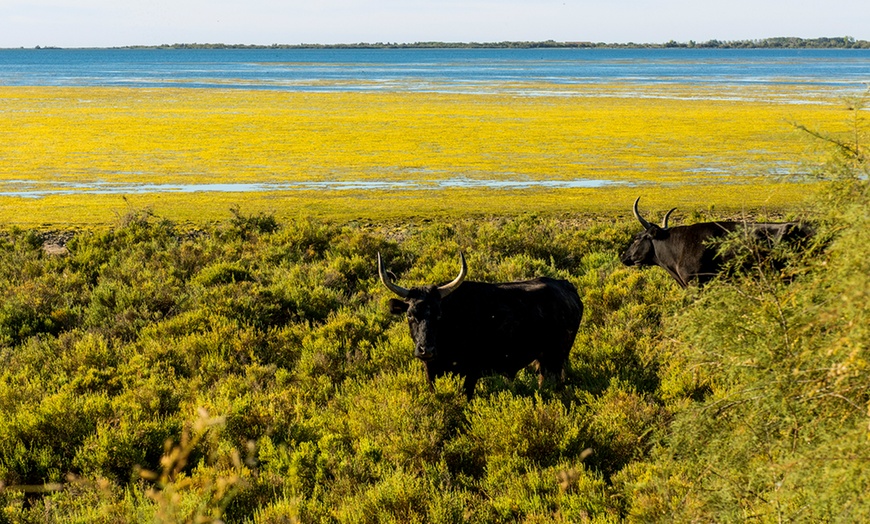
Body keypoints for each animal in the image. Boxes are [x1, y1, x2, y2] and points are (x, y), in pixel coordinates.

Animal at [378, 253, 584, 398]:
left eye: (439, 315)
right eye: (410, 315)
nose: (425, 349)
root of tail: (567, 287)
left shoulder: (471, 372)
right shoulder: (432, 371)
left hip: (555, 358)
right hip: (544, 360)